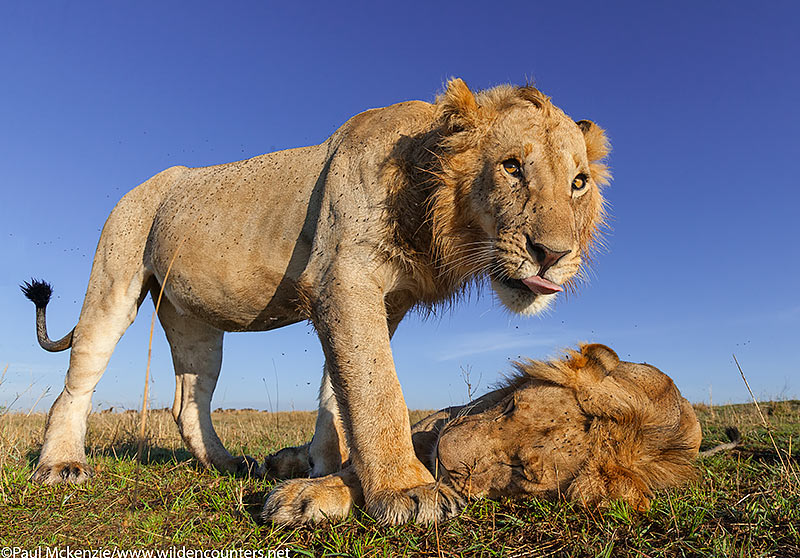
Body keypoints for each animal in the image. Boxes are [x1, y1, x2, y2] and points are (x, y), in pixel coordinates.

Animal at [25, 79, 612, 524]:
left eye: (579, 183)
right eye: (512, 167)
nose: (553, 254)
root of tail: (138, 187)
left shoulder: (384, 301)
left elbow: (339, 393)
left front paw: (325, 470)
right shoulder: (344, 279)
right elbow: (377, 388)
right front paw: (406, 490)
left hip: (194, 320)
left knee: (189, 399)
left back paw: (227, 464)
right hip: (114, 276)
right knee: (76, 382)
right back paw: (60, 466)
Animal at [260, 344, 700, 528]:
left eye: (520, 469)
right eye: (511, 407)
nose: (444, 454)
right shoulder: (436, 424)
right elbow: (368, 464)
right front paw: (307, 494)